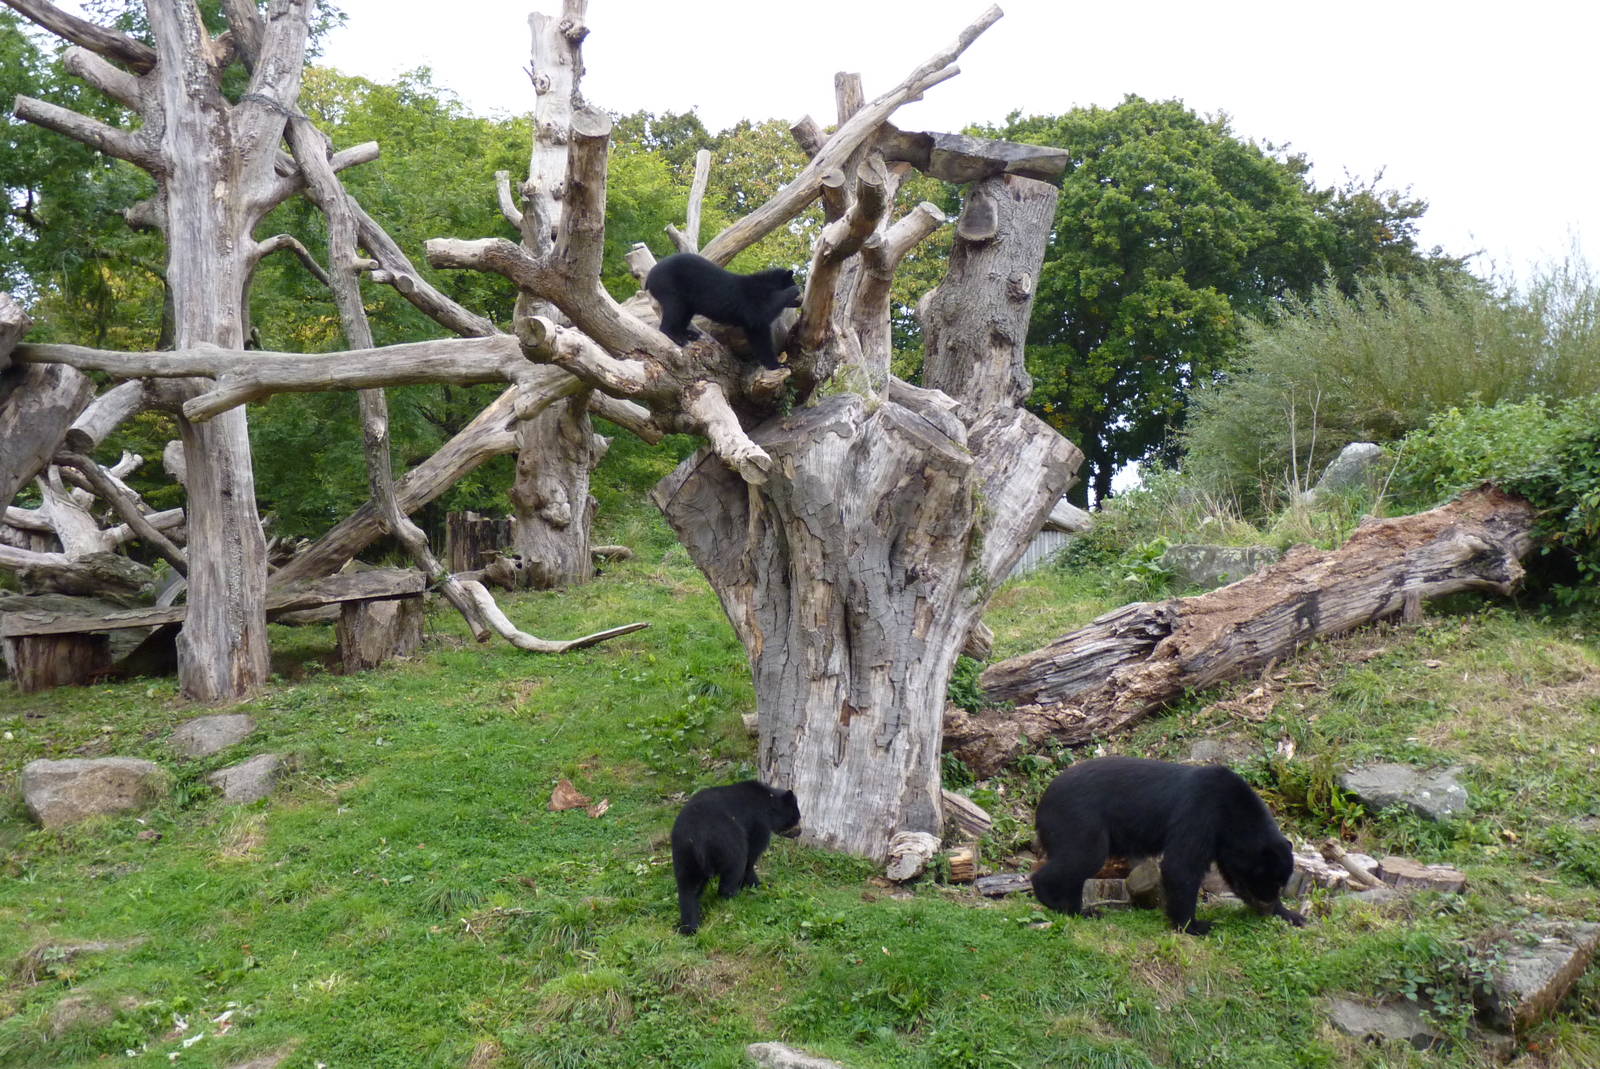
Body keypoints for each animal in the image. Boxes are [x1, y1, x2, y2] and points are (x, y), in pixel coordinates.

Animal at [644, 252, 801, 369]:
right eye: (798, 294)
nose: (800, 301)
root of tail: (649, 276)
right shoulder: (752, 300)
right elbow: (760, 314)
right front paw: (779, 365)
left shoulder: (752, 322)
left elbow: (758, 334)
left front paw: (775, 364)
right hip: (670, 287)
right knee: (674, 311)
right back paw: (679, 338)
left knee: (683, 314)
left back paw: (689, 334)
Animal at [671, 779, 802, 935]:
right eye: (796, 817)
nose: (799, 832)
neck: (768, 800)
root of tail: (697, 839)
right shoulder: (758, 822)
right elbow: (752, 855)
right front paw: (758, 884)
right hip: (728, 842)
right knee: (736, 865)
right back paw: (735, 896)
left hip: (684, 854)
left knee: (688, 889)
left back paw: (689, 927)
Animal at [1030, 756, 1307, 935]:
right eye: (1267, 881)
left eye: (1280, 883)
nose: (1267, 905)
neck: (1233, 815)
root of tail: (1041, 804)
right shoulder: (1199, 814)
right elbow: (1181, 865)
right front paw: (1195, 926)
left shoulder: (1225, 844)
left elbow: (1230, 874)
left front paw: (1293, 916)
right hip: (1079, 822)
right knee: (1081, 859)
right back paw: (1053, 900)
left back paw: (1080, 911)